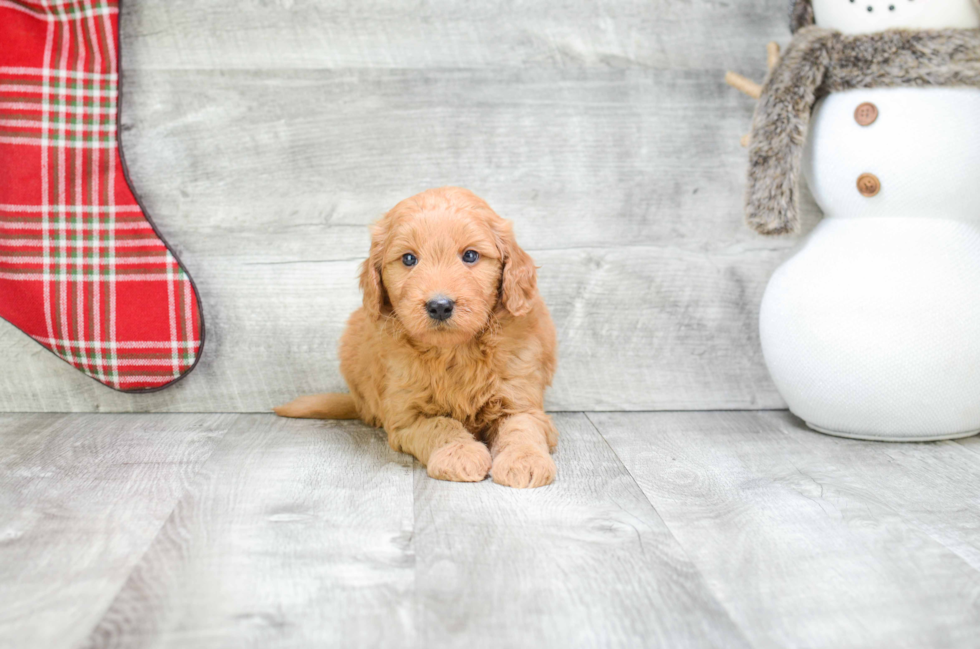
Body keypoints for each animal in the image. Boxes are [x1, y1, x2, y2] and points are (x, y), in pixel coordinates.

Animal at [276, 186, 560, 486]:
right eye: (409, 259)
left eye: (470, 256)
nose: (440, 305)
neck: (453, 351)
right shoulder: (407, 415)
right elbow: (441, 426)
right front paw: (459, 453)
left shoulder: (521, 400)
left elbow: (522, 428)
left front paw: (524, 460)